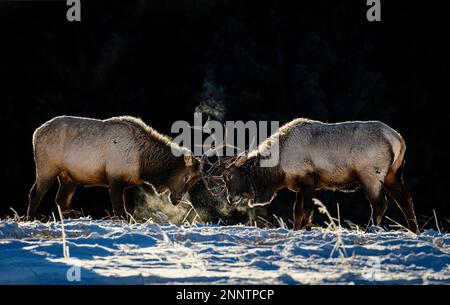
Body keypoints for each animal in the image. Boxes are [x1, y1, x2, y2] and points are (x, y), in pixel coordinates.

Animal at [27, 114, 202, 218]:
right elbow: (119, 209)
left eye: (195, 181)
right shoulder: (114, 179)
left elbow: (130, 210)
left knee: (61, 200)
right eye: (186, 176)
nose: (178, 199)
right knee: (35, 193)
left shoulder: (130, 184)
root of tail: (35, 133)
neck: (144, 164)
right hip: (47, 168)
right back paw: (31, 218)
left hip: (68, 177)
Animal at [220, 117, 420, 232]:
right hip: (393, 174)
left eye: (229, 176)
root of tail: (399, 140)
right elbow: (297, 211)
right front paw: (297, 229)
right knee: (406, 199)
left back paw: (369, 230)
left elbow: (307, 209)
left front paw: (306, 229)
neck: (277, 170)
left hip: (370, 175)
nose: (230, 197)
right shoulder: (299, 183)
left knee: (380, 203)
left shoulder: (307, 178)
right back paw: (414, 230)